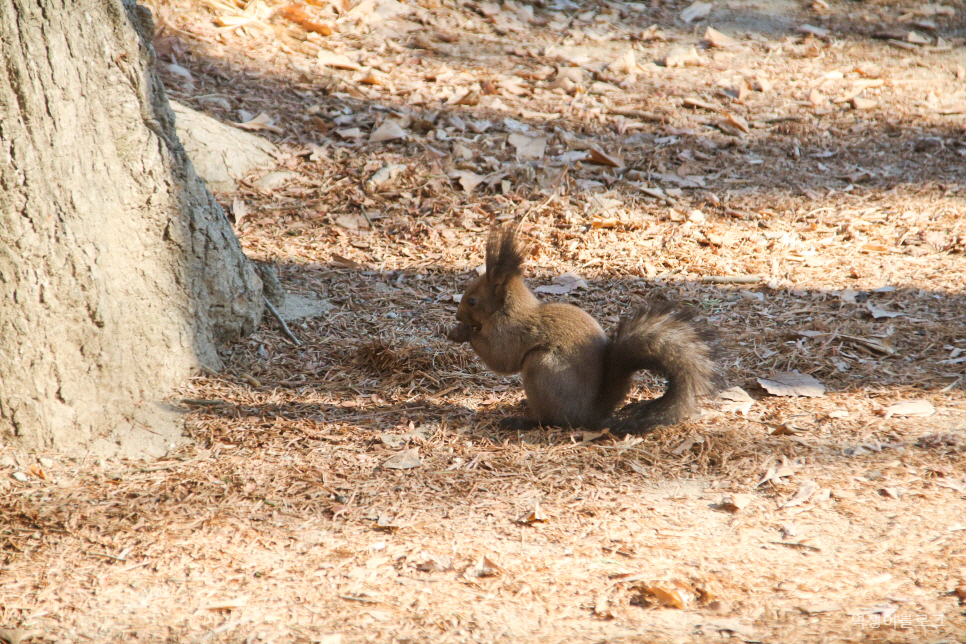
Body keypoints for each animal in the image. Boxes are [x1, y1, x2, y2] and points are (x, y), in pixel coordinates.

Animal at [450, 224, 724, 436]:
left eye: (472, 301)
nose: (458, 315)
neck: (508, 310)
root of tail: (590, 413)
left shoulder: (511, 333)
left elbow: (501, 358)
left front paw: (461, 332)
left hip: (542, 367)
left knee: (552, 420)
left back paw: (522, 421)